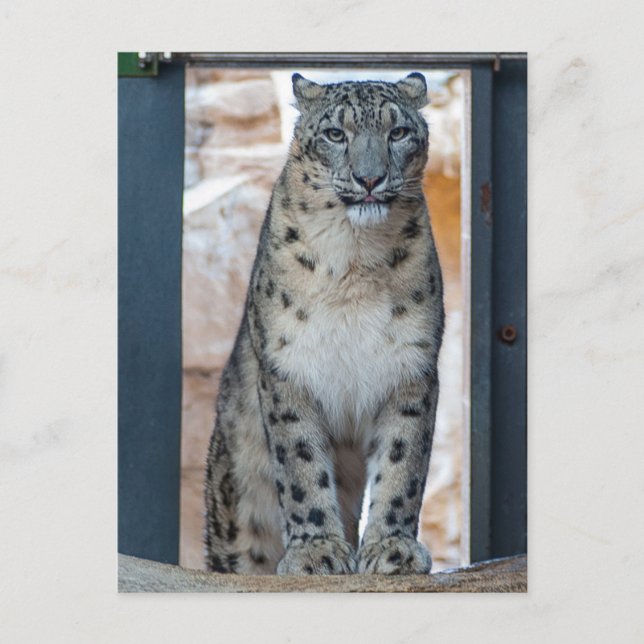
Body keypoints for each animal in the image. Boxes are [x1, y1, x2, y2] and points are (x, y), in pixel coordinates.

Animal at [204, 72, 444, 576]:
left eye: (398, 132)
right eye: (336, 134)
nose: (370, 178)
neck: (355, 259)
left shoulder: (411, 367)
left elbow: (403, 461)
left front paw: (392, 548)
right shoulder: (288, 366)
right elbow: (300, 461)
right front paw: (317, 553)